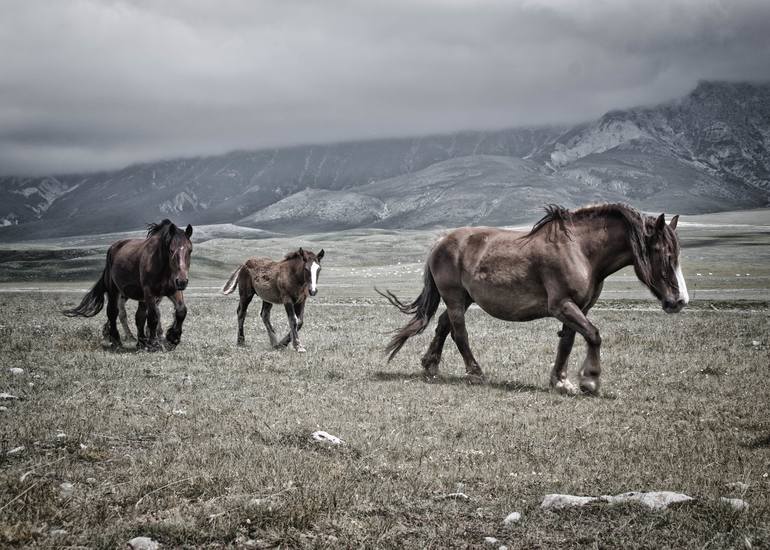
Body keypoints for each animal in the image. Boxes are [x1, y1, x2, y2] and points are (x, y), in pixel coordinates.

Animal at [64, 219, 194, 352]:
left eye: (190, 250)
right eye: (171, 250)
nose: (182, 281)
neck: (163, 267)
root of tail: (112, 248)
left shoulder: (173, 290)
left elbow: (181, 311)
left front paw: (173, 338)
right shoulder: (150, 293)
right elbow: (153, 317)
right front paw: (154, 344)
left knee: (138, 316)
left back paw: (141, 342)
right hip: (114, 292)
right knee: (113, 312)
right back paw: (117, 341)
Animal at [378, 205, 688, 394]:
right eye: (664, 253)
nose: (679, 301)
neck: (581, 250)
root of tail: (440, 242)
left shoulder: (577, 307)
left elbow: (568, 341)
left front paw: (561, 381)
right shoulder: (562, 305)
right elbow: (593, 335)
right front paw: (589, 380)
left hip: (464, 299)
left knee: (443, 325)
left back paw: (430, 365)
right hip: (455, 298)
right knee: (459, 333)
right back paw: (475, 372)